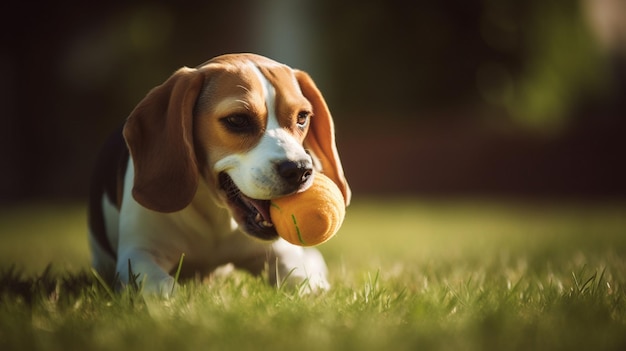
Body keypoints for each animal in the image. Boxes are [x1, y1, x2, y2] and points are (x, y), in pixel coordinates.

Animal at [87, 53, 348, 296]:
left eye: (302, 117)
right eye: (237, 119)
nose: (300, 170)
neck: (216, 216)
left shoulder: (282, 256)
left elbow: (303, 281)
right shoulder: (139, 254)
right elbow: (162, 287)